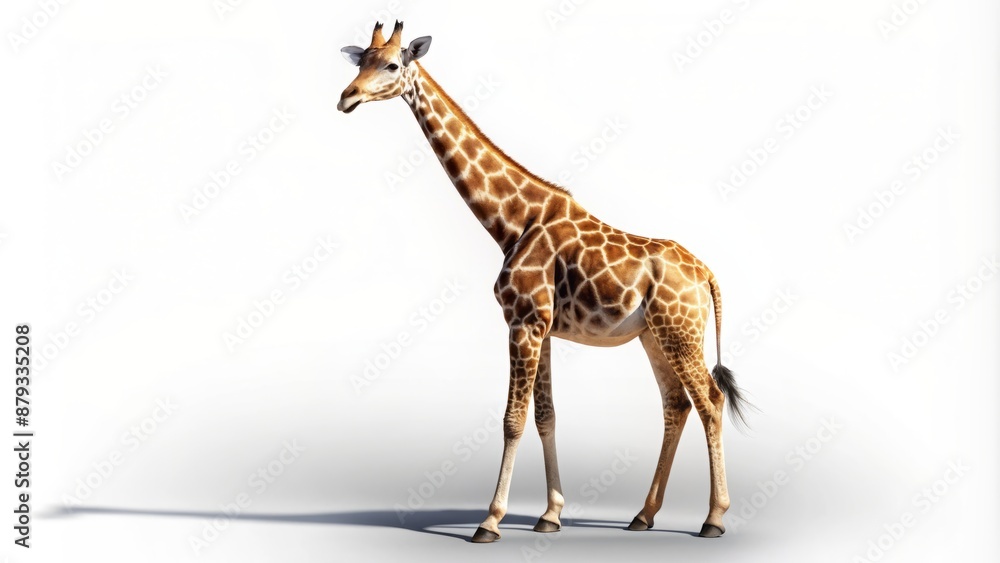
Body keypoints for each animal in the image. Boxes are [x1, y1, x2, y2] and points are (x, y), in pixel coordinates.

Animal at [338, 21, 751, 543]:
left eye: (392, 65)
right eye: (359, 62)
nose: (346, 98)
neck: (512, 222)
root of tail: (707, 274)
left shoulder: (524, 322)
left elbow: (512, 420)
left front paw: (490, 521)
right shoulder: (542, 327)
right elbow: (545, 416)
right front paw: (550, 515)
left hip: (681, 333)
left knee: (710, 401)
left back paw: (713, 518)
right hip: (654, 336)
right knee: (675, 404)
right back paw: (643, 515)